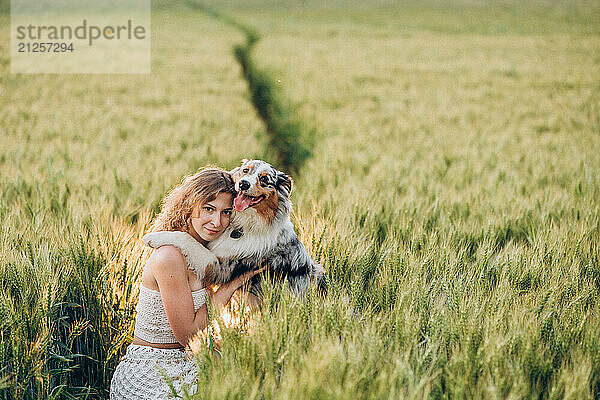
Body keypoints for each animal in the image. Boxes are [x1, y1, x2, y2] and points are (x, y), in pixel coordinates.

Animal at [142, 159, 324, 294]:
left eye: (264, 179)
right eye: (245, 171)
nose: (243, 184)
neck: (244, 225)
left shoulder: (219, 268)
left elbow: (188, 239)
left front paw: (153, 237)